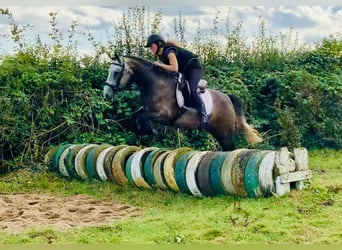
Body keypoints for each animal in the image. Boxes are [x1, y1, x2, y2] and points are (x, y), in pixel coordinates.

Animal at [102, 55, 262, 150]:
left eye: (116, 72)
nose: (106, 94)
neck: (155, 83)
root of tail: (228, 98)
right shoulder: (147, 110)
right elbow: (138, 115)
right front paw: (147, 131)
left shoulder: (164, 115)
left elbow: (140, 116)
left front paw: (151, 132)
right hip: (216, 131)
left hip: (225, 131)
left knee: (230, 149)